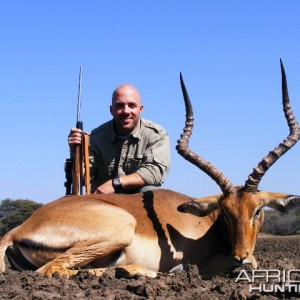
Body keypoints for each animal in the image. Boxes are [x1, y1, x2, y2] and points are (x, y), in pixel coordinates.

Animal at [0, 61, 300, 278]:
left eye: (258, 210)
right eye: (225, 212)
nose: (241, 257)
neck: (208, 225)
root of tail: (16, 230)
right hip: (121, 227)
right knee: (52, 270)